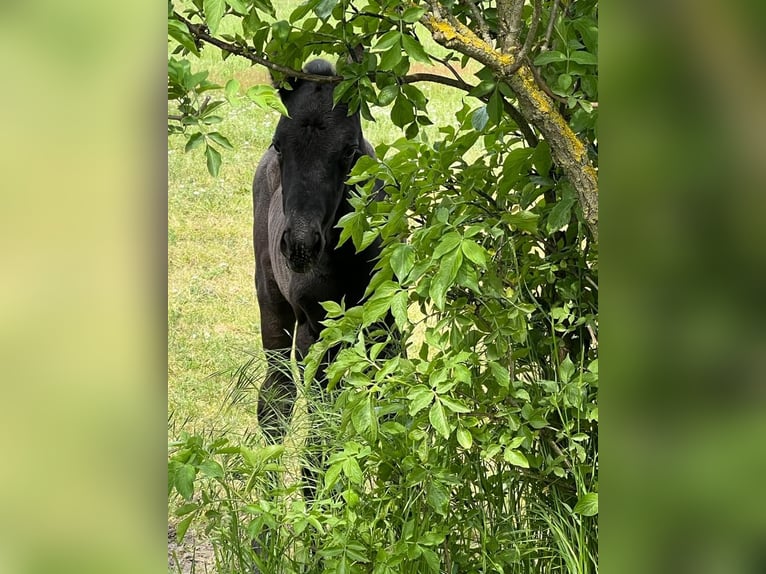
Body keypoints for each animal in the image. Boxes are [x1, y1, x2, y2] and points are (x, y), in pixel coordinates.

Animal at [254, 58, 382, 452]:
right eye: (279, 144)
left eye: (349, 149)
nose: (300, 244)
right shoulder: (316, 331)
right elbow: (324, 424)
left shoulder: (385, 320)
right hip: (272, 299)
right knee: (276, 394)